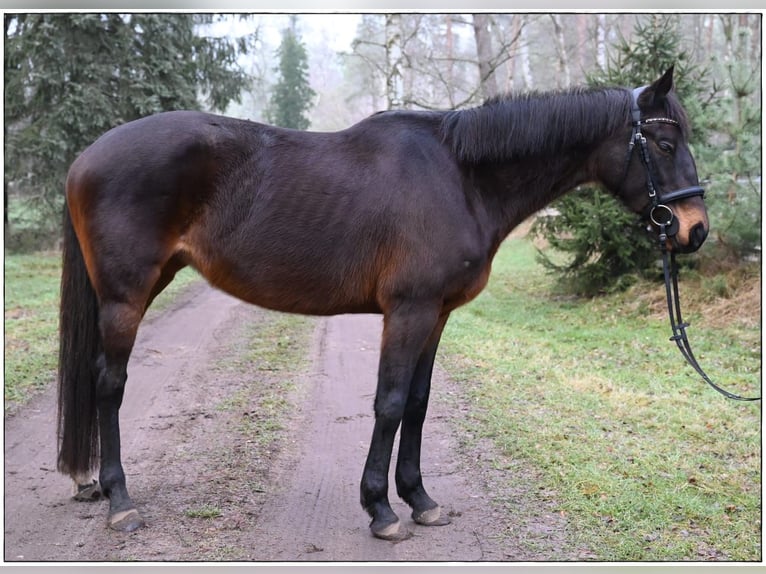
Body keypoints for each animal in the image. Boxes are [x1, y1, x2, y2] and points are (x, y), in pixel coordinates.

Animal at [57, 65, 712, 544]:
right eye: (663, 141)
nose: (695, 230)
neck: (461, 176)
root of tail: (85, 157)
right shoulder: (408, 310)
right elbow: (390, 403)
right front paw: (381, 509)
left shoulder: (436, 314)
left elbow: (418, 403)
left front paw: (419, 500)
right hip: (126, 295)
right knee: (109, 383)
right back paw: (119, 500)